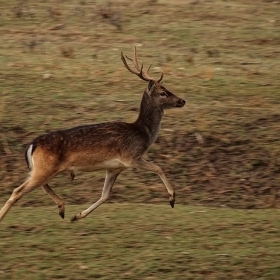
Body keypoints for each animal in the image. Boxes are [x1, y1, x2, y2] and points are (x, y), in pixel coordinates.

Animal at [0, 48, 185, 223]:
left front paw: (77, 216)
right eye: (163, 92)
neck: (143, 133)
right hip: (45, 168)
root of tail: (32, 145)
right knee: (18, 190)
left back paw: (62, 208)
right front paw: (172, 199)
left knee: (39, 185)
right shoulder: (131, 157)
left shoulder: (115, 167)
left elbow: (105, 195)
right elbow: (158, 168)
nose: (182, 101)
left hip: (41, 168)